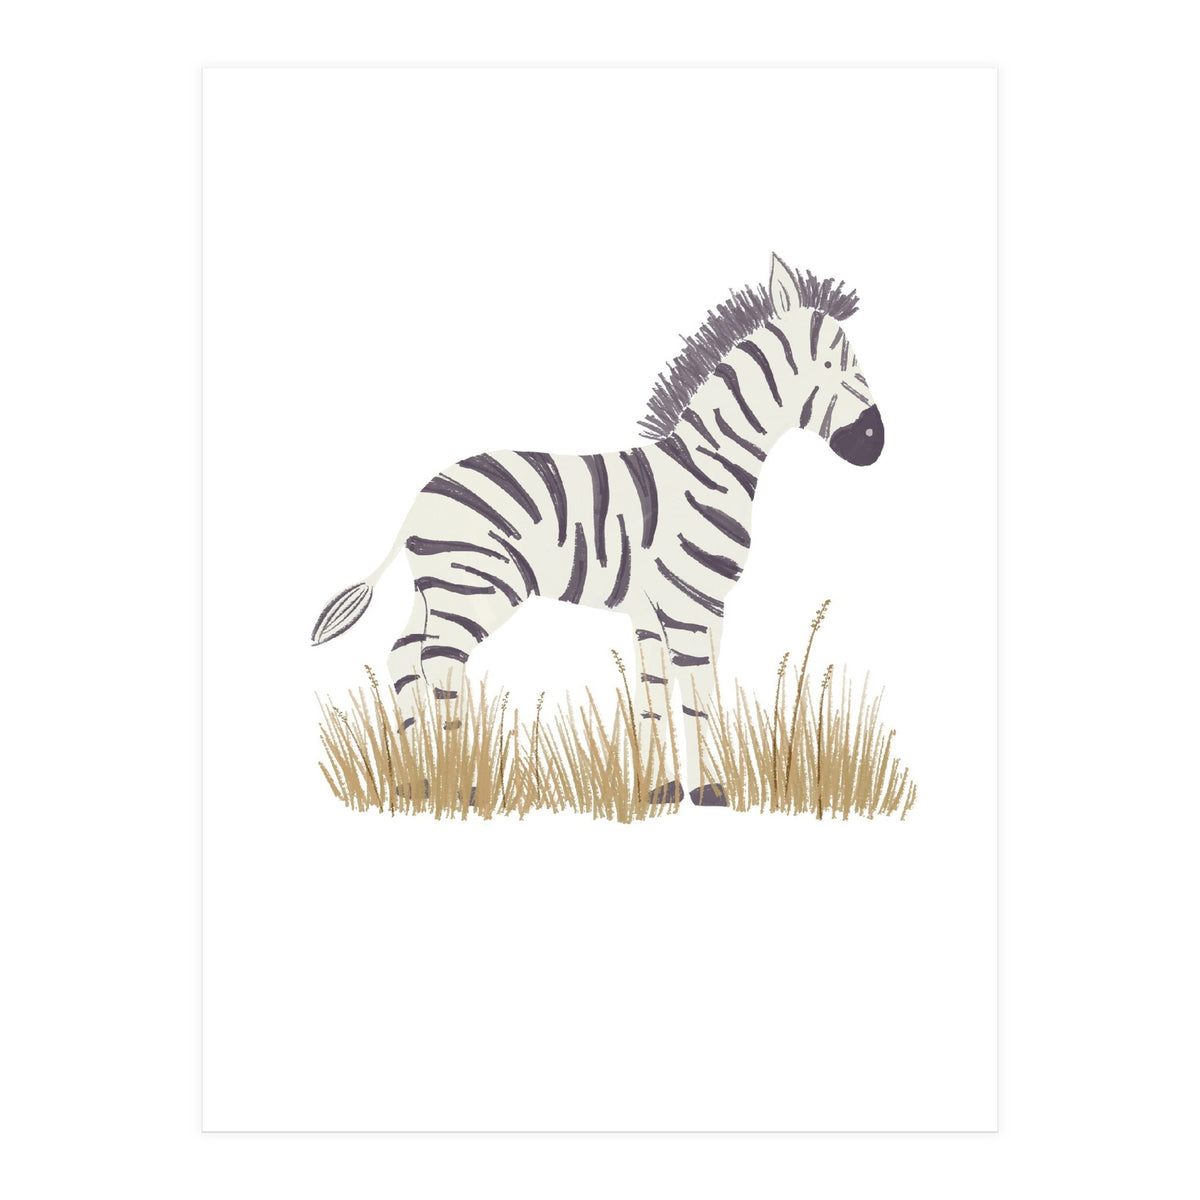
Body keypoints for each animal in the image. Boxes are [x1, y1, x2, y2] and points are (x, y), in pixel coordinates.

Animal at [312, 253, 884, 806]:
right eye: (832, 365)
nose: (875, 442)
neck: (708, 468)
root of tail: (417, 502)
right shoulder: (695, 608)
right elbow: (699, 696)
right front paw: (712, 791)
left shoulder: (655, 615)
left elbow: (654, 696)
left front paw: (660, 790)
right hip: (474, 587)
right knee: (441, 664)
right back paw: (460, 785)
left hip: (437, 588)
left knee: (403, 656)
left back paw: (419, 783)